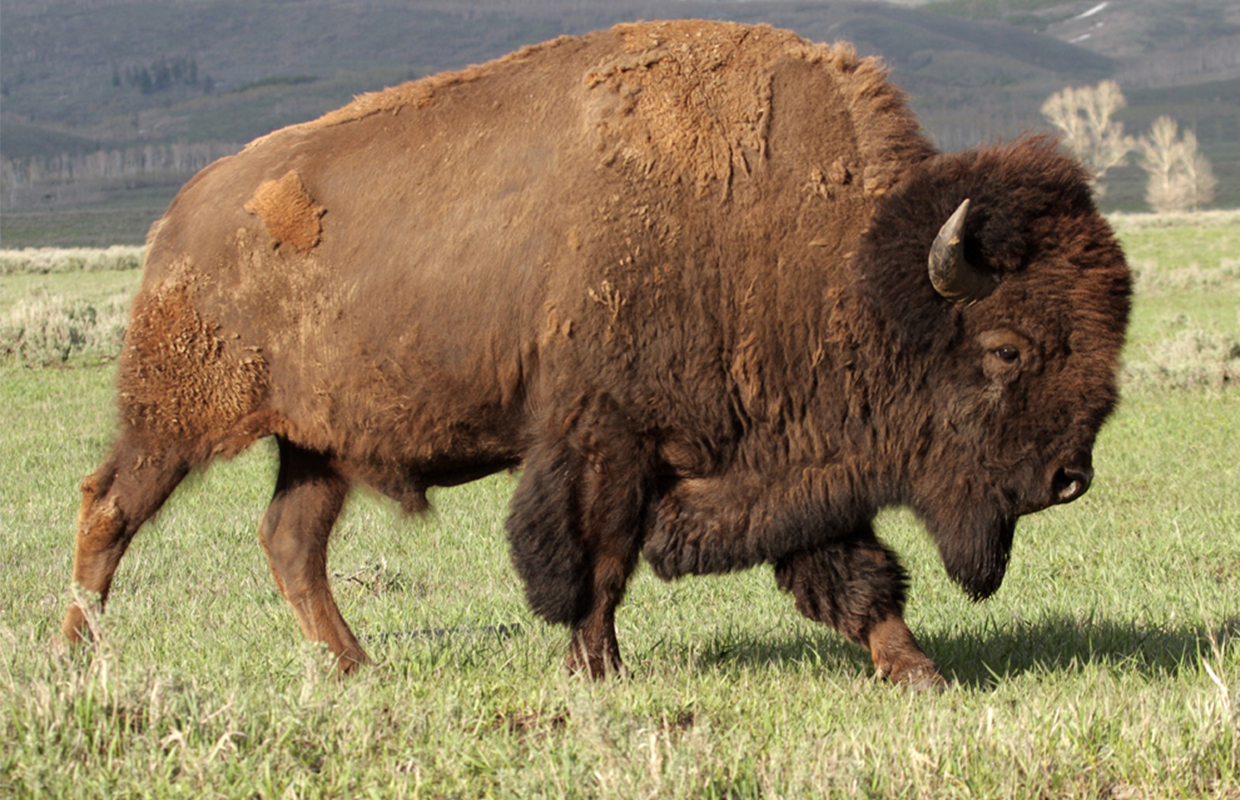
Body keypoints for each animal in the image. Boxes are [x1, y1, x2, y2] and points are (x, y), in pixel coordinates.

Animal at [62, 21, 1130, 688]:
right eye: (1004, 349)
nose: (1067, 477)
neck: (830, 254)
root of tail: (182, 214)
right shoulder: (607, 439)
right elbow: (595, 562)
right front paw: (600, 670)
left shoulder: (788, 459)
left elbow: (852, 568)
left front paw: (917, 672)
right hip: (176, 420)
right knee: (108, 508)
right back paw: (78, 655)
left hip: (318, 446)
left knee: (290, 542)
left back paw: (359, 668)